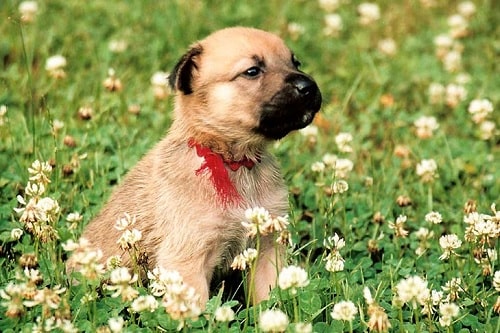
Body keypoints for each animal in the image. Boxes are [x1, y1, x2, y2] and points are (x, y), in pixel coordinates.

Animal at [68, 27, 322, 304]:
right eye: (252, 71)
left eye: (295, 62)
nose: (309, 87)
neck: (230, 161)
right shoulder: (187, 259)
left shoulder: (268, 246)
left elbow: (270, 297)